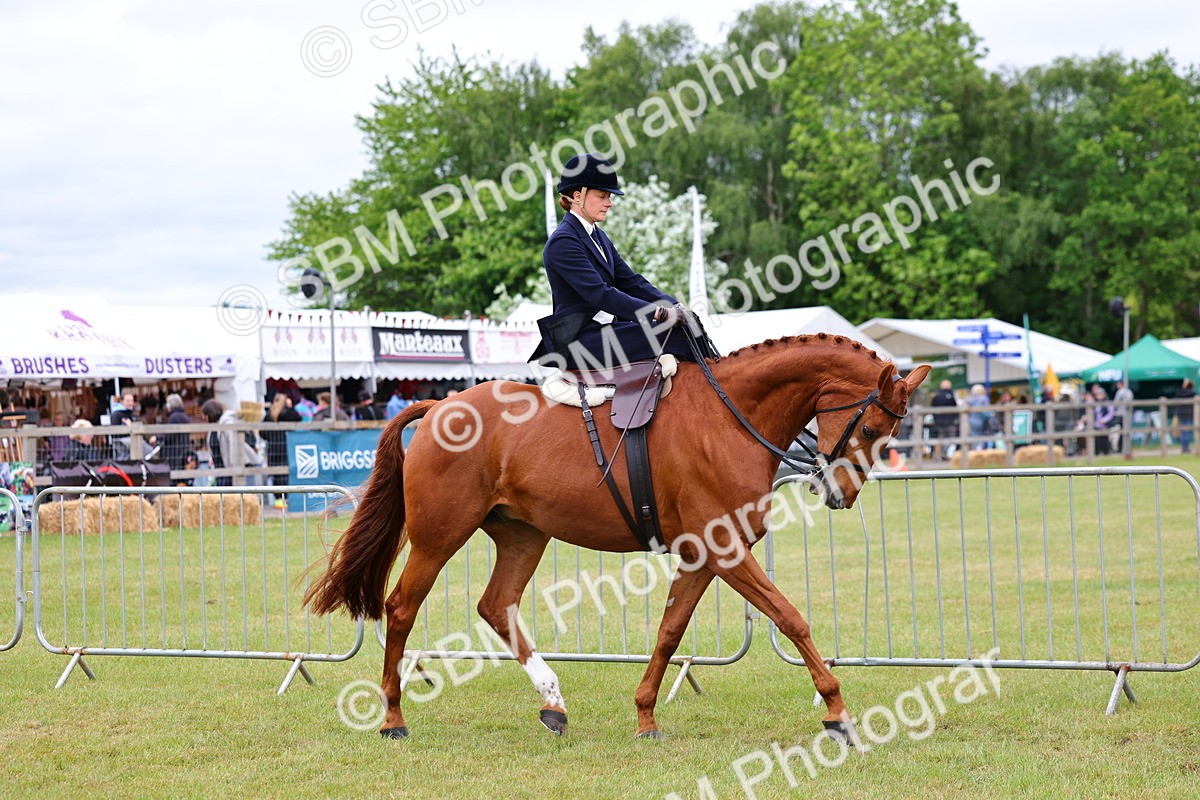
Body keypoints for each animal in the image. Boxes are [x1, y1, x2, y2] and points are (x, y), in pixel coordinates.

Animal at [304, 333, 932, 740]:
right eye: (872, 428)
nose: (842, 495)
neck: (729, 418)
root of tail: (442, 404)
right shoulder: (726, 551)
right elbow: (791, 618)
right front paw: (836, 712)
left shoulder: (703, 556)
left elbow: (670, 632)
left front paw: (646, 715)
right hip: (439, 537)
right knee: (401, 609)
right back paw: (393, 718)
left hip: (523, 536)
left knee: (497, 605)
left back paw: (553, 704)